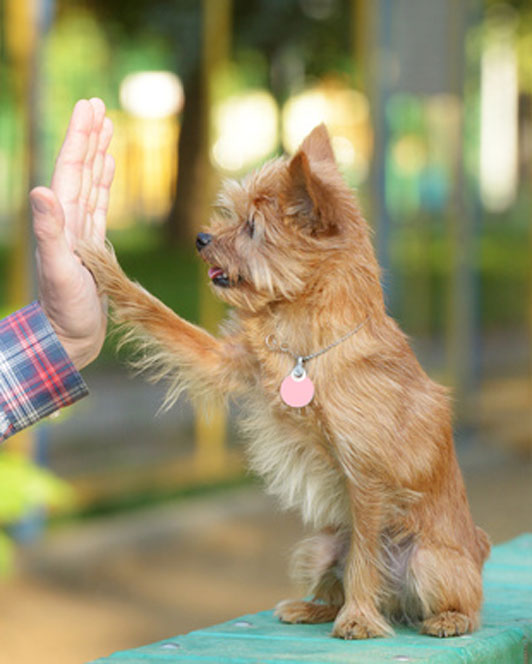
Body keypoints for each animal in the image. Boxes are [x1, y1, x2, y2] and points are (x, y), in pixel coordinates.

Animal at [79, 123, 490, 640]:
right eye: (231, 216)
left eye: (253, 228)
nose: (200, 237)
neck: (306, 345)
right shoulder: (225, 360)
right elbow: (160, 316)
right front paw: (106, 269)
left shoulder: (367, 479)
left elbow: (365, 558)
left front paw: (359, 618)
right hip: (319, 547)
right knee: (337, 576)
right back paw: (313, 608)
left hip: (428, 560)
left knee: (459, 602)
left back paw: (445, 619)